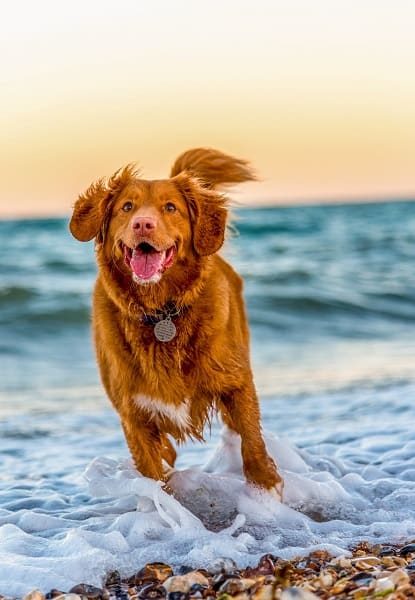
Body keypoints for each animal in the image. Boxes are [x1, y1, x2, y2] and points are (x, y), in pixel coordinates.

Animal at [70, 148, 284, 494]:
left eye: (170, 207)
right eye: (126, 207)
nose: (143, 224)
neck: (162, 312)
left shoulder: (236, 381)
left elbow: (251, 439)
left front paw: (266, 484)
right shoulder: (133, 414)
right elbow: (153, 472)